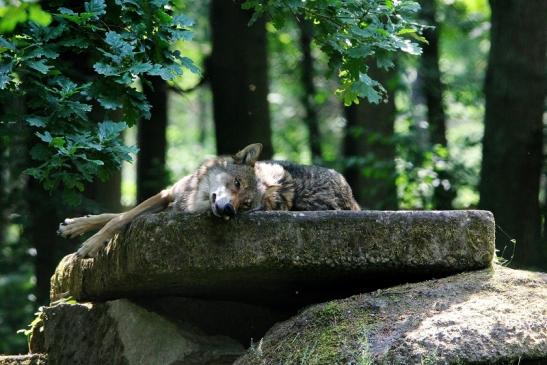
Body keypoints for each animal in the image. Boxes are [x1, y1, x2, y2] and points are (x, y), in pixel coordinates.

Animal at [60, 142, 360, 256]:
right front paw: (76, 227)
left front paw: (89, 245)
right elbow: (117, 216)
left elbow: (120, 219)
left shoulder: (172, 209)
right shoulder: (169, 194)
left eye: (246, 205)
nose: (228, 209)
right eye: (236, 184)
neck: (197, 199)